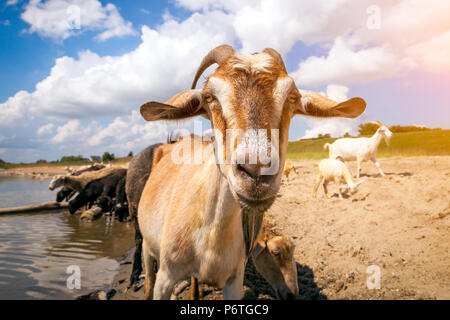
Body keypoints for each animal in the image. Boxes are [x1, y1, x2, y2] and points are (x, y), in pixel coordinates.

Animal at [137, 43, 366, 298]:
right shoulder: (166, 277)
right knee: (148, 279)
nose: (257, 172)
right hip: (147, 246)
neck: (210, 238)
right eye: (209, 97)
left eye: (292, 97)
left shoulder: (234, 280)